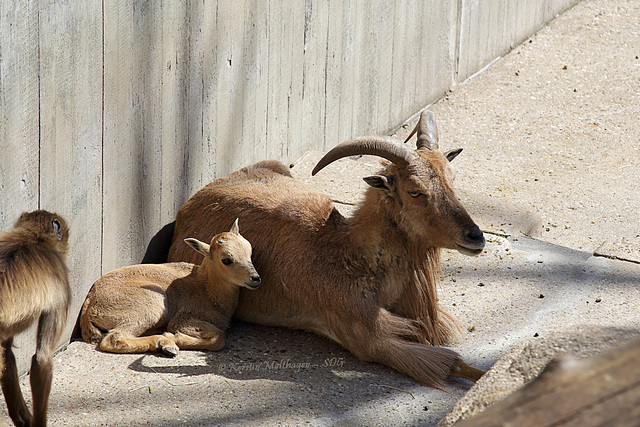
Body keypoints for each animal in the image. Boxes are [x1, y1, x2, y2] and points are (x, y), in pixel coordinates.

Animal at [80, 219, 260, 356]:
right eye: (226, 260)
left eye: (249, 250)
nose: (255, 279)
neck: (206, 288)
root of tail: (89, 306)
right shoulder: (183, 318)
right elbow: (219, 337)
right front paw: (175, 337)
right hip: (150, 305)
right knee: (113, 339)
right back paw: (165, 343)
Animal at [165, 111, 484, 388]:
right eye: (415, 191)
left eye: (452, 179)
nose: (476, 236)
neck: (354, 257)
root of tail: (188, 207)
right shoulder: (370, 337)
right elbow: (450, 363)